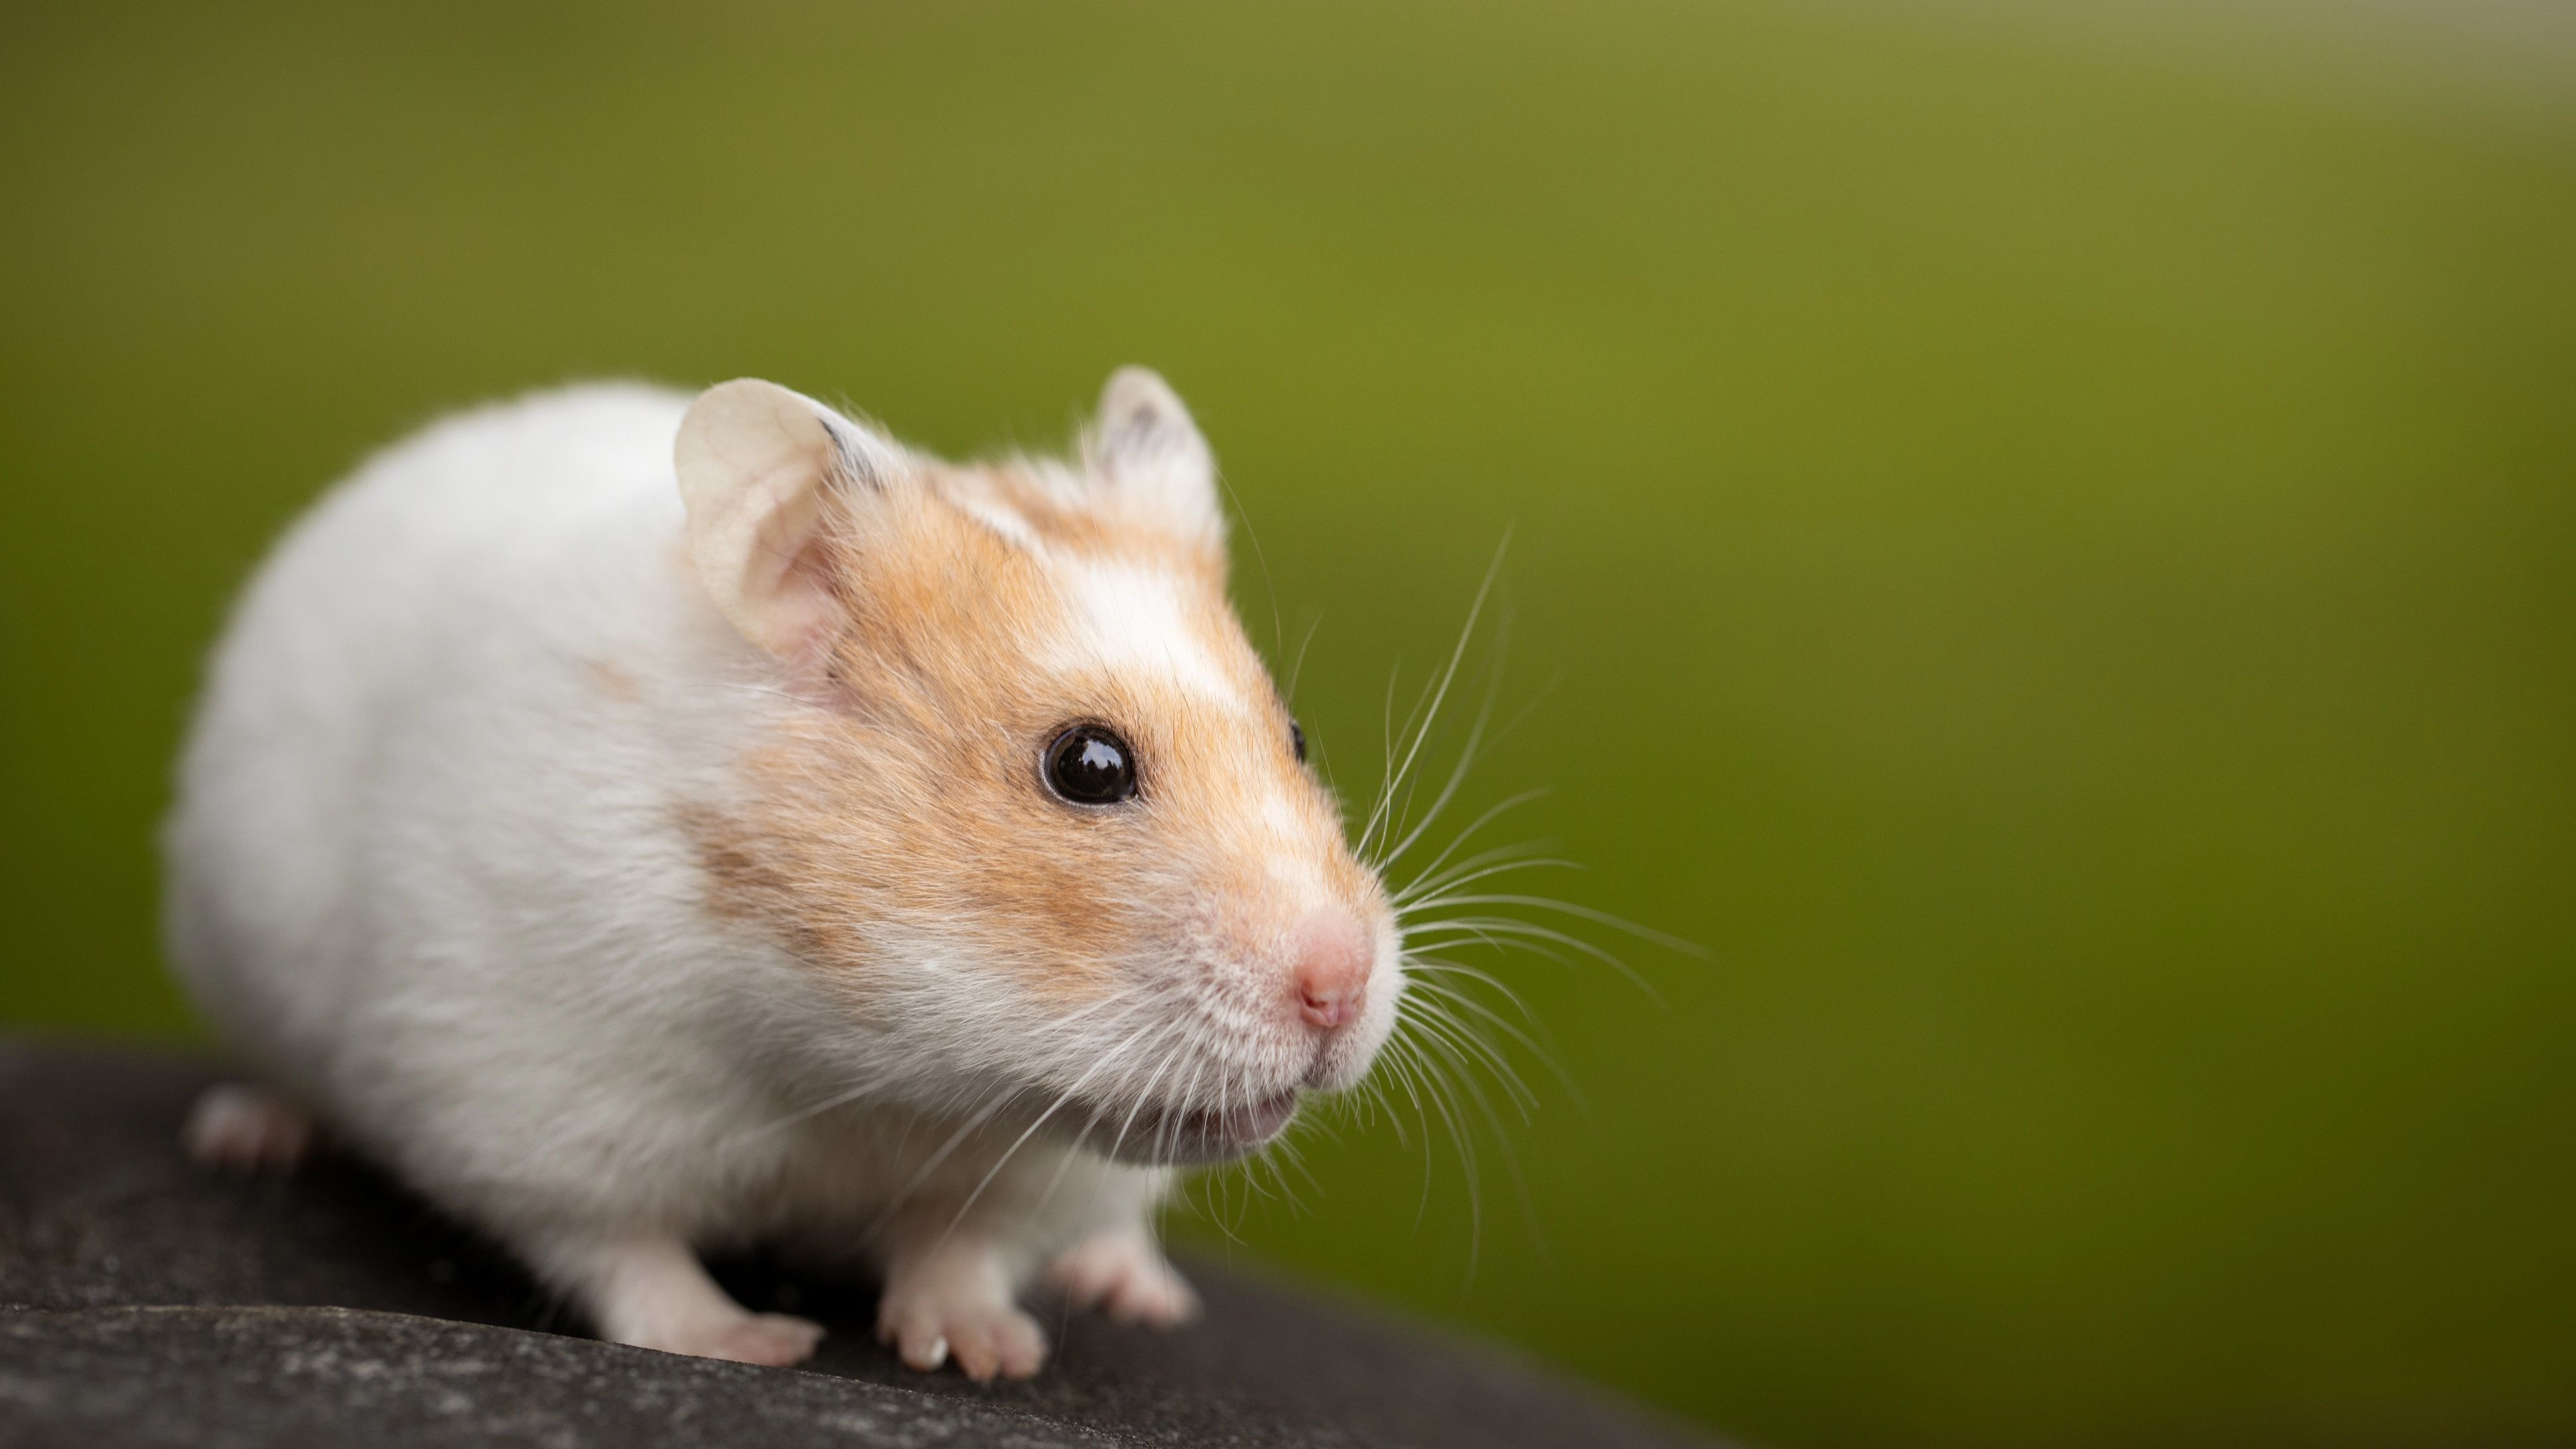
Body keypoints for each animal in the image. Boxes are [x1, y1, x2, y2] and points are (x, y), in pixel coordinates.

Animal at [162, 370, 1402, 1377]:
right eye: (1087, 765)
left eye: (1296, 737)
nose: (1341, 989)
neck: (866, 1066)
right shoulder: (518, 1090)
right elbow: (623, 1251)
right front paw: (755, 1344)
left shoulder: (1030, 1171)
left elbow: (963, 1246)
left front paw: (987, 1353)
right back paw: (250, 1134)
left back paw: (1131, 1286)